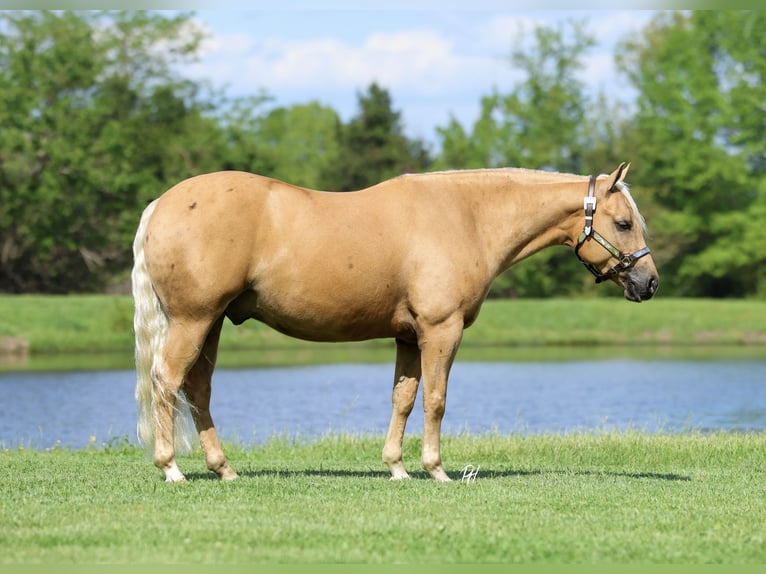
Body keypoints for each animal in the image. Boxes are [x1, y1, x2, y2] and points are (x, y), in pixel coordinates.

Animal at [132, 162, 658, 482]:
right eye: (624, 223)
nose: (649, 283)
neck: (468, 217)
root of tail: (160, 204)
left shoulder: (408, 335)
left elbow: (403, 399)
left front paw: (397, 468)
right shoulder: (441, 330)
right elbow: (436, 400)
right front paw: (437, 470)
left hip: (213, 322)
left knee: (197, 389)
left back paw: (223, 468)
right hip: (194, 320)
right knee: (166, 381)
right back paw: (172, 468)